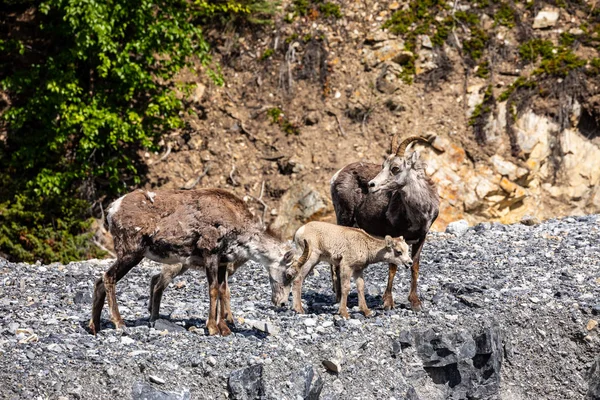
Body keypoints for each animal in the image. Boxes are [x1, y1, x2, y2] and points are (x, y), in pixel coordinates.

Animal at [89, 189, 292, 336]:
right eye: (289, 274)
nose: (282, 303)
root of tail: (112, 209)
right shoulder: (210, 254)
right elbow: (214, 290)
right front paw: (212, 328)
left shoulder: (222, 263)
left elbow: (222, 291)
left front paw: (225, 328)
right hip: (131, 253)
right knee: (108, 277)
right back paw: (119, 323)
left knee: (99, 281)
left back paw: (94, 327)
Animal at [274, 222, 410, 318]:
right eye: (398, 251)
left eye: (407, 249)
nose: (409, 263)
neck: (365, 245)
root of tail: (299, 231)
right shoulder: (346, 266)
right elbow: (346, 288)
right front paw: (344, 313)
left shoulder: (358, 271)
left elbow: (360, 287)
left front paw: (367, 312)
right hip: (311, 258)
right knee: (298, 279)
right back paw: (299, 309)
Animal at [330, 136, 438, 310]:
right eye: (383, 166)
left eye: (395, 168)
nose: (371, 185)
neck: (419, 213)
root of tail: (336, 177)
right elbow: (393, 267)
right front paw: (387, 302)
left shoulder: (421, 238)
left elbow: (414, 266)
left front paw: (415, 302)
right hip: (344, 218)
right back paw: (339, 297)